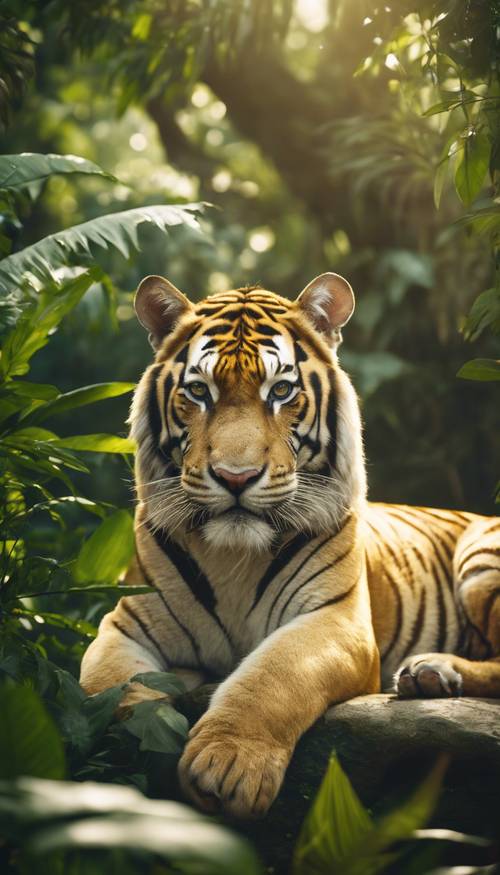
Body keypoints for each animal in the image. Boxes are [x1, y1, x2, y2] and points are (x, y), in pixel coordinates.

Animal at [79, 272, 500, 820]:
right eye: (198, 391)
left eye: (281, 390)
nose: (235, 477)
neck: (232, 557)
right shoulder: (122, 624)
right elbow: (111, 690)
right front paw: (137, 750)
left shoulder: (334, 620)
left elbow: (271, 677)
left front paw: (227, 764)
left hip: (480, 556)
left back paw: (432, 670)